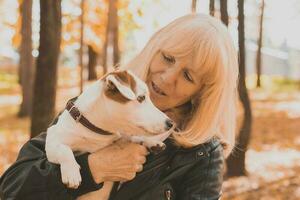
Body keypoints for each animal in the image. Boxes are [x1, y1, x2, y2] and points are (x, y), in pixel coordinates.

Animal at [45, 69, 175, 199]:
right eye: (141, 98)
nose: (171, 123)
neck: (99, 132)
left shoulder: (121, 135)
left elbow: (132, 136)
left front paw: (151, 142)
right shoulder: (52, 139)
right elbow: (64, 150)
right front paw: (71, 173)